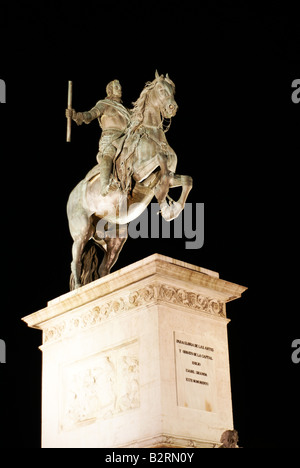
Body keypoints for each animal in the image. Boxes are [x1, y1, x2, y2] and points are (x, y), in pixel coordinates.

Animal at [67, 72, 193, 288]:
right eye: (162, 90)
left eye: (173, 89)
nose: (172, 108)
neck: (152, 136)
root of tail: (71, 197)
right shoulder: (140, 174)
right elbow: (162, 164)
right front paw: (166, 204)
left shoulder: (163, 177)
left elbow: (186, 180)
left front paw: (173, 209)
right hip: (82, 232)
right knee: (75, 261)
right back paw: (77, 289)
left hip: (115, 238)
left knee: (103, 268)